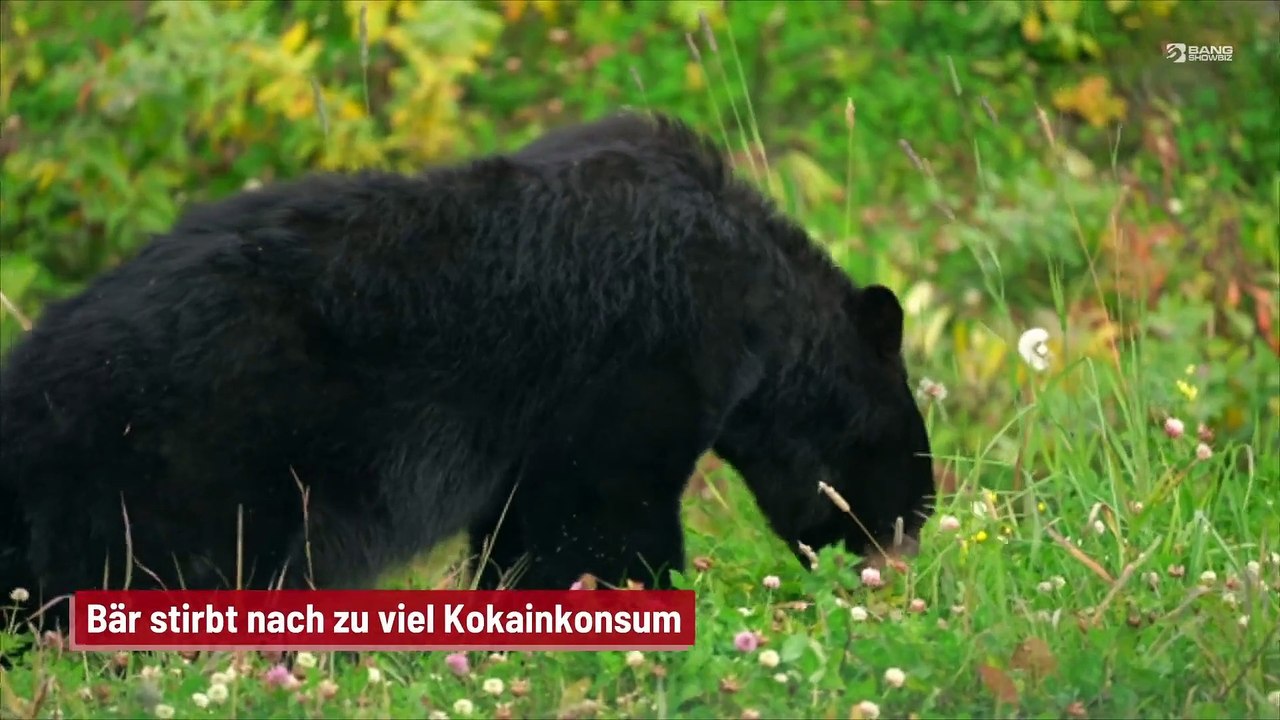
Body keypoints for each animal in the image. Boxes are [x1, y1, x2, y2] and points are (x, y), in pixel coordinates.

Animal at [0, 110, 935, 635]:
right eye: (907, 462)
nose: (904, 552)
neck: (750, 302)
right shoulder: (633, 364)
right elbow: (602, 512)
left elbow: (526, 530)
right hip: (187, 461)